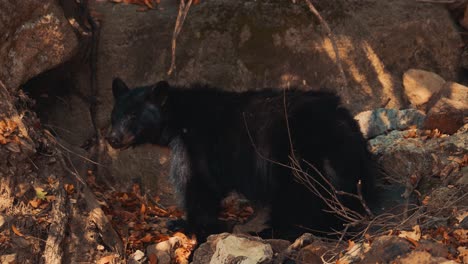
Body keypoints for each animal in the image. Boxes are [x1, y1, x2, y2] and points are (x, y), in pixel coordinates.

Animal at [107, 78, 376, 241]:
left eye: (133, 116)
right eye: (114, 115)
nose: (112, 138)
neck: (179, 119)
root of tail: (346, 127)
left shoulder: (197, 144)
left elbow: (197, 183)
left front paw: (187, 225)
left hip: (292, 153)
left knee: (298, 195)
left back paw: (276, 231)